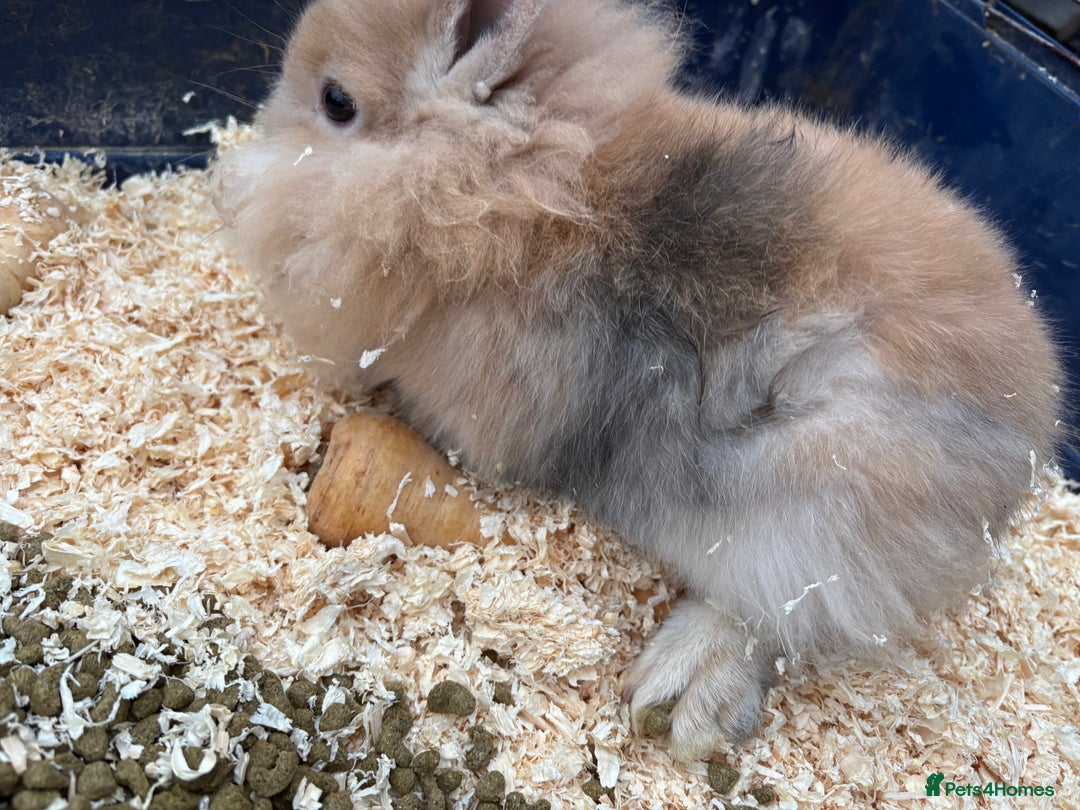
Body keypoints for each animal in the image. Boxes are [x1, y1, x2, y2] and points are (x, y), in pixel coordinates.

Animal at [215, 0, 1062, 760]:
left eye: (336, 101)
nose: (264, 123)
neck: (507, 191)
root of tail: (1029, 440)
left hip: (805, 513)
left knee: (780, 615)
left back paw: (678, 692)